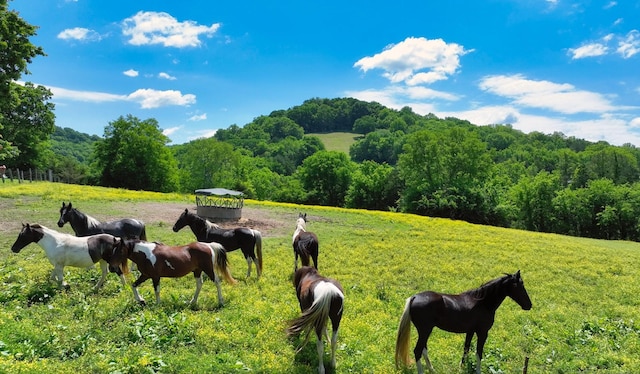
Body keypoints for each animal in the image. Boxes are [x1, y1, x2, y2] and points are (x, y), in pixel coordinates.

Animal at [107, 238, 238, 306]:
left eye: (119, 251)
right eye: (112, 250)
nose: (111, 268)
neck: (146, 254)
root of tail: (209, 245)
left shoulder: (155, 277)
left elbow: (157, 291)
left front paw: (157, 305)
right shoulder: (145, 275)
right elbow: (133, 285)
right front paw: (141, 300)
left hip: (208, 270)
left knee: (217, 282)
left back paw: (220, 302)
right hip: (197, 271)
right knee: (199, 284)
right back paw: (192, 302)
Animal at [392, 270, 532, 372]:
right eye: (519, 285)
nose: (529, 305)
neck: (482, 302)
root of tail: (414, 297)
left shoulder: (470, 331)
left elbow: (466, 348)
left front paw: (462, 367)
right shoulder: (482, 333)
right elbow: (479, 353)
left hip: (424, 331)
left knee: (423, 349)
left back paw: (432, 369)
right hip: (425, 331)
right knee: (418, 351)